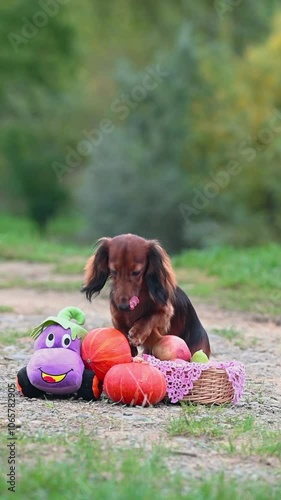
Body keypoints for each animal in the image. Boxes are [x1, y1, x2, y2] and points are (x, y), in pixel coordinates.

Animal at [80, 233, 209, 356]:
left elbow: (150, 317)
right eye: (113, 271)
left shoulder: (166, 314)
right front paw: (129, 347)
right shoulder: (115, 316)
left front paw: (137, 333)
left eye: (136, 272)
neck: (141, 296)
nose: (123, 307)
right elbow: (121, 328)